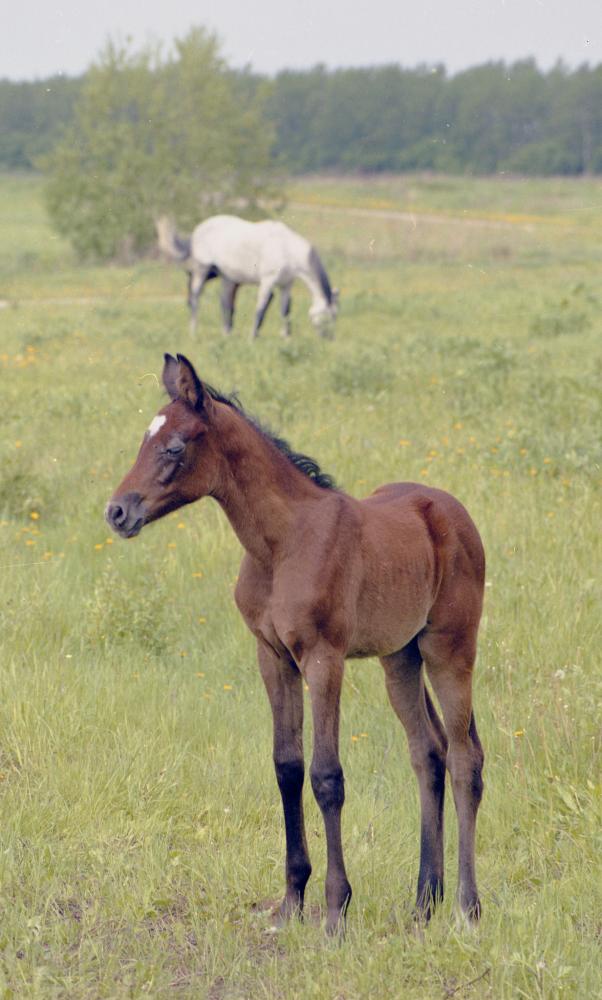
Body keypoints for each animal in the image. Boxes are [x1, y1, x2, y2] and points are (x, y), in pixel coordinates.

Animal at [106, 354, 485, 935]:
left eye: (173, 446)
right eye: (144, 440)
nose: (118, 512)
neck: (282, 544)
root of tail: (451, 511)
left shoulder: (323, 659)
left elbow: (326, 776)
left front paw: (334, 910)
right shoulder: (273, 657)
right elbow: (286, 766)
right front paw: (290, 901)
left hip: (450, 650)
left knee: (465, 759)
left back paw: (466, 907)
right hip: (400, 657)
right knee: (429, 754)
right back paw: (424, 901)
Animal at [156, 215, 339, 338]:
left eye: (335, 316)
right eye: (327, 316)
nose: (329, 338)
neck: (286, 249)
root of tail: (197, 231)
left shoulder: (286, 285)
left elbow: (285, 311)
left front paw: (286, 337)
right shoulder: (267, 281)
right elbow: (260, 309)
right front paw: (252, 337)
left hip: (222, 276)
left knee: (224, 302)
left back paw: (226, 333)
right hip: (203, 270)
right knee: (195, 298)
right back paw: (193, 332)